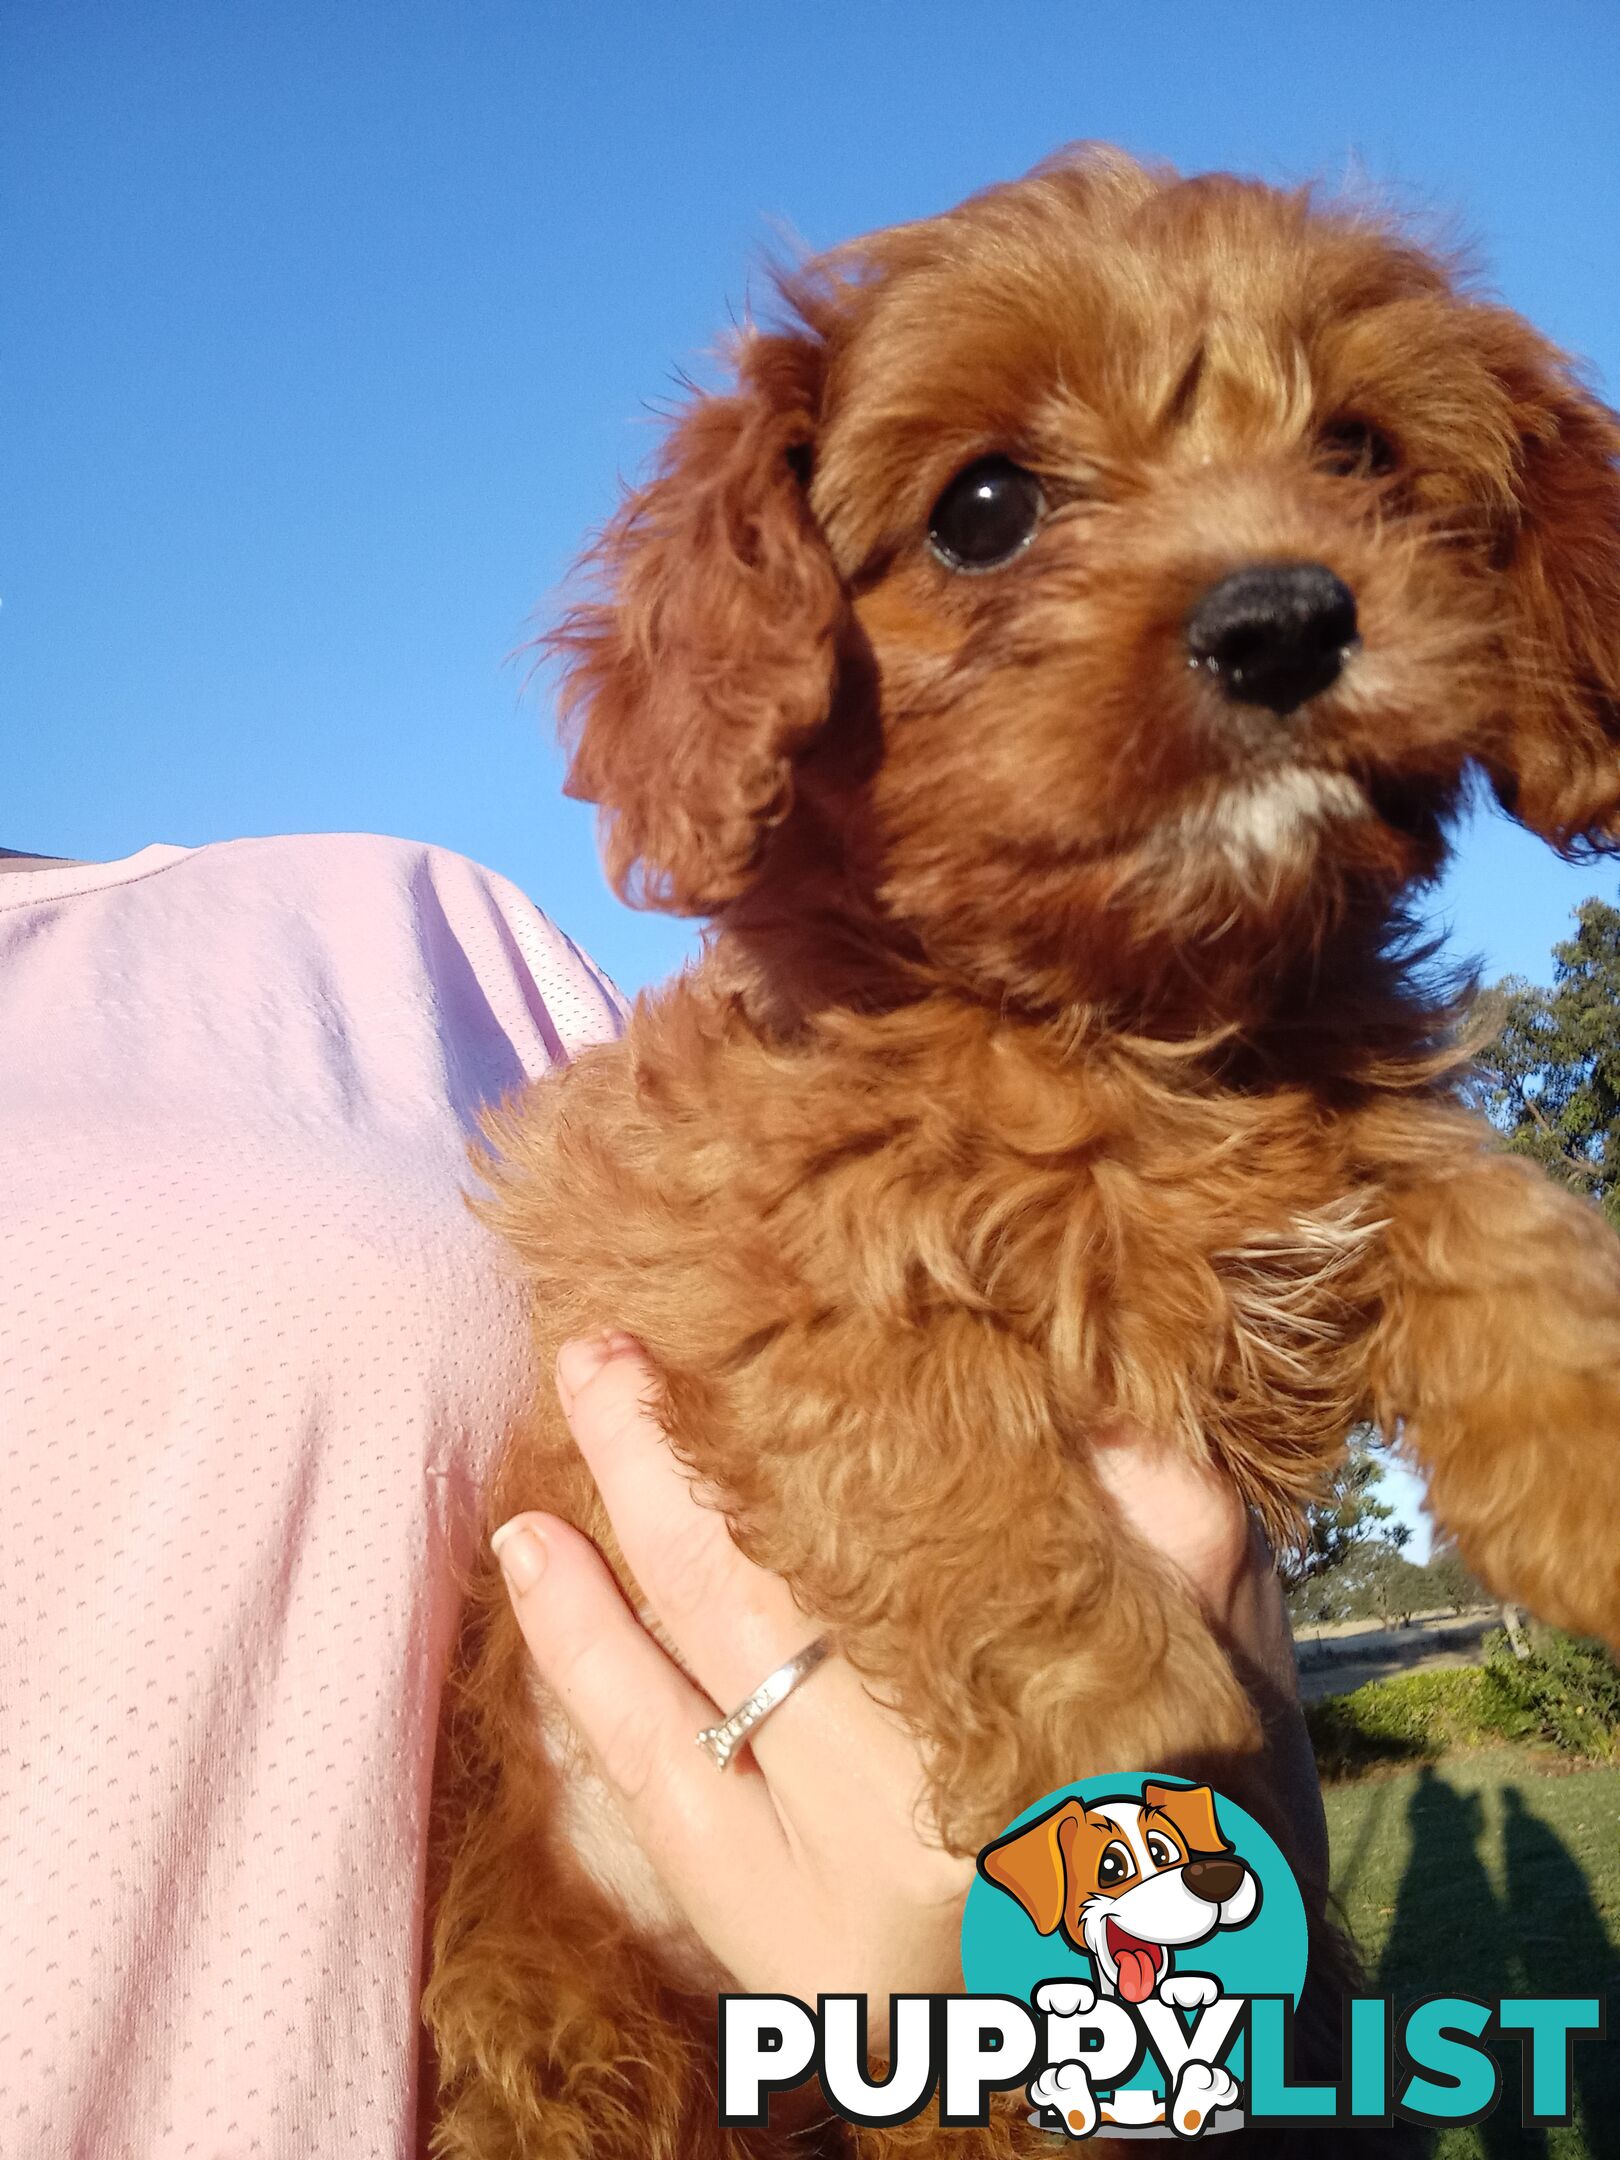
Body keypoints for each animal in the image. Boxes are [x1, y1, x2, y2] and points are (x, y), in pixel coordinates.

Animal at [421, 152, 1620, 2160]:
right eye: (985, 510)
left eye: (1362, 451)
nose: (1284, 619)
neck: (1131, 1027)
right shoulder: (759, 1289)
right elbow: (989, 1519)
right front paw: (1145, 1770)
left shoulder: (1346, 1131)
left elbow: (1506, 1234)